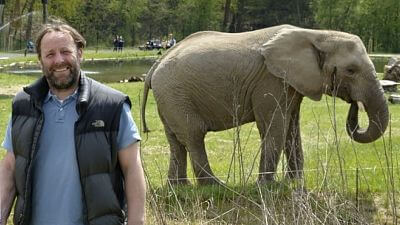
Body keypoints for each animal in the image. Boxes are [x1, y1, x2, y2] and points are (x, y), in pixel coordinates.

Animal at [141, 24, 388, 185]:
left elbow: (291, 128)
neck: (316, 34)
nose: (355, 104)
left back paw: (179, 188)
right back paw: (215, 186)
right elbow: (275, 127)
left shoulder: (291, 83)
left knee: (176, 141)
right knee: (193, 135)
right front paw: (268, 187)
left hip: (169, 97)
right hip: (174, 93)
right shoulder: (270, 80)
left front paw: (294, 183)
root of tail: (154, 66)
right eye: (351, 70)